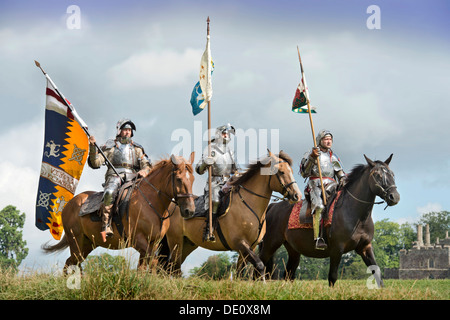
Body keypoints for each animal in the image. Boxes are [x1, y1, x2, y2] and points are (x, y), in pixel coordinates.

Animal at [42, 152, 195, 272]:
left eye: (192, 179)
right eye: (179, 179)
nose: (189, 210)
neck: (151, 203)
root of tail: (68, 205)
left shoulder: (153, 243)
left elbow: (143, 268)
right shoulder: (138, 240)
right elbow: (154, 263)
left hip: (87, 244)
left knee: (72, 263)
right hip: (76, 242)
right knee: (72, 263)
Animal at [158, 151, 302, 278]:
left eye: (291, 171)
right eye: (281, 172)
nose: (297, 195)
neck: (248, 205)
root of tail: (172, 205)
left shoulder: (250, 247)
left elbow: (240, 272)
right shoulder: (240, 243)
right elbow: (260, 265)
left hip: (187, 244)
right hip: (176, 242)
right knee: (171, 267)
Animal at [258, 154, 400, 286]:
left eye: (392, 174)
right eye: (378, 175)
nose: (394, 197)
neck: (357, 216)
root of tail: (273, 206)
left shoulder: (365, 247)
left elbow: (378, 273)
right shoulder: (337, 250)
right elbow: (332, 277)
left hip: (293, 250)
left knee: (288, 274)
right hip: (270, 244)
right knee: (259, 265)